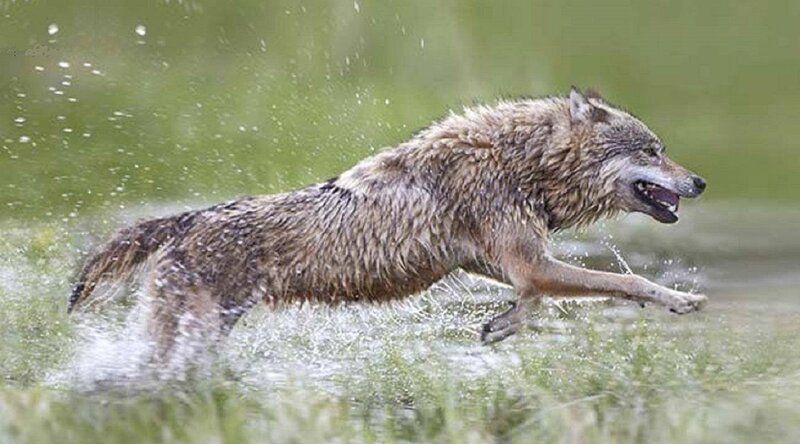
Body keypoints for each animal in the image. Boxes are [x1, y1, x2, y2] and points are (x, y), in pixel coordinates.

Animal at [68, 87, 707, 357]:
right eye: (653, 151)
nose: (701, 182)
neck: (519, 160)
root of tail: (185, 221)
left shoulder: (495, 261)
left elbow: (540, 298)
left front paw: (503, 325)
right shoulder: (529, 261)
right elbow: (625, 281)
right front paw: (680, 299)